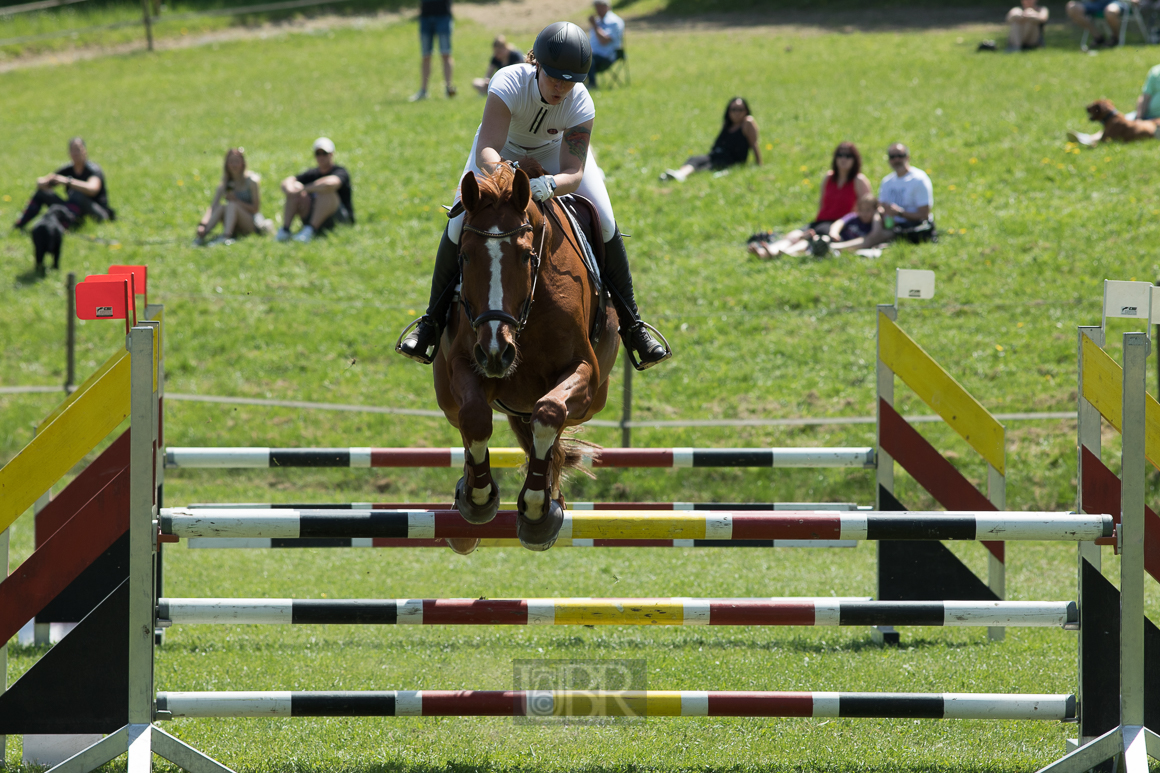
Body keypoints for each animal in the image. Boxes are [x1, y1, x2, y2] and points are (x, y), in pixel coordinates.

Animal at [433, 159, 617, 550]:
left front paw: (536, 509)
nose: (495, 352)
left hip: (593, 402)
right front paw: (479, 497)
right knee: (464, 420)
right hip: (446, 394)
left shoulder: (584, 372)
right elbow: (476, 417)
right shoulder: (465, 363)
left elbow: (549, 413)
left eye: (526, 255)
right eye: (464, 256)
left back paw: (550, 499)